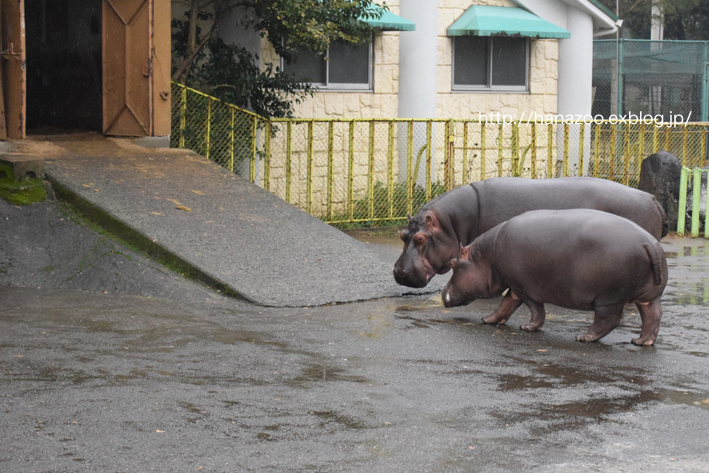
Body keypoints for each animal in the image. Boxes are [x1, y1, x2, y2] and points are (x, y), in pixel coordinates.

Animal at [440, 208, 668, 344]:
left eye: (453, 264)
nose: (442, 294)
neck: (486, 256)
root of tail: (650, 244)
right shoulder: (514, 285)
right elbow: (505, 306)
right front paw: (487, 320)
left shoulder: (524, 288)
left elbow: (535, 310)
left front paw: (527, 327)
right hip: (648, 296)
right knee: (653, 316)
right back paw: (640, 342)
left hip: (609, 298)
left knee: (609, 320)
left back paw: (583, 337)